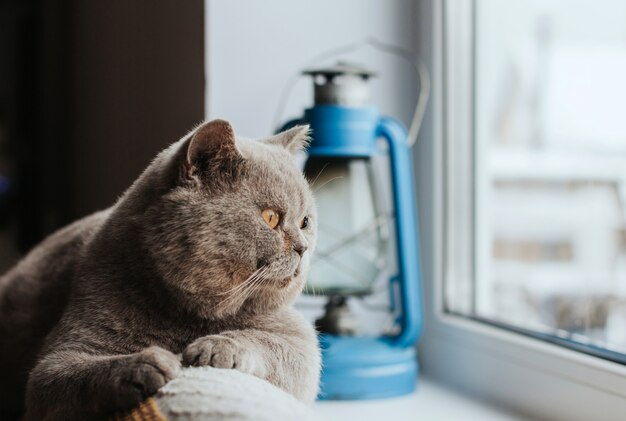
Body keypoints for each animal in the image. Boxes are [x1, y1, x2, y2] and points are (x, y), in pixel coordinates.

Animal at [0, 118, 320, 420]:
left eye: (305, 221)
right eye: (270, 217)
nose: (303, 247)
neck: (188, 315)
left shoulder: (299, 341)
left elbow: (268, 344)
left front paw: (215, 347)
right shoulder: (55, 365)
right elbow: (70, 377)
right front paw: (144, 364)